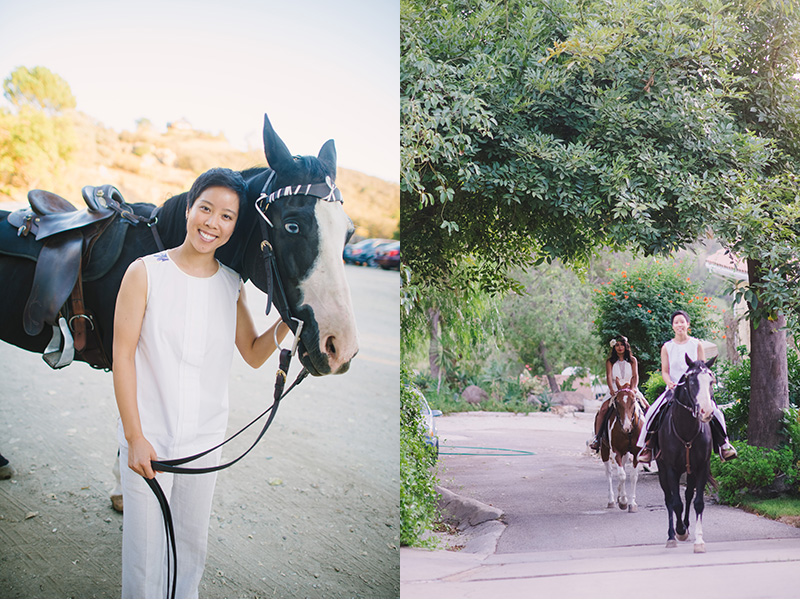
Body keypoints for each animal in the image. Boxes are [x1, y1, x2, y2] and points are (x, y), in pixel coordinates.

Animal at [656, 354, 720, 556]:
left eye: (711, 381)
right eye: (692, 381)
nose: (706, 411)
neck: (686, 430)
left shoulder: (702, 467)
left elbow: (698, 502)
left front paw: (699, 541)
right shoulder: (670, 469)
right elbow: (676, 503)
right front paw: (680, 532)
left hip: (690, 471)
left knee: (689, 495)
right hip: (662, 471)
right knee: (669, 500)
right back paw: (672, 535)